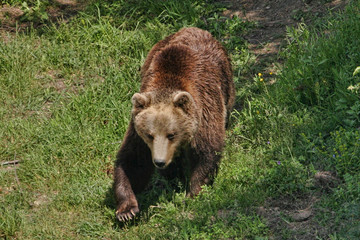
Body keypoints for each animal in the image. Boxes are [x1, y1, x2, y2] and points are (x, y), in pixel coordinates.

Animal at [114, 26, 235, 221]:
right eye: (150, 135)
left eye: (172, 134)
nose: (159, 161)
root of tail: (194, 28)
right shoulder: (137, 131)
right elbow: (133, 160)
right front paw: (127, 210)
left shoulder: (204, 111)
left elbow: (207, 151)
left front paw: (193, 193)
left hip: (225, 80)